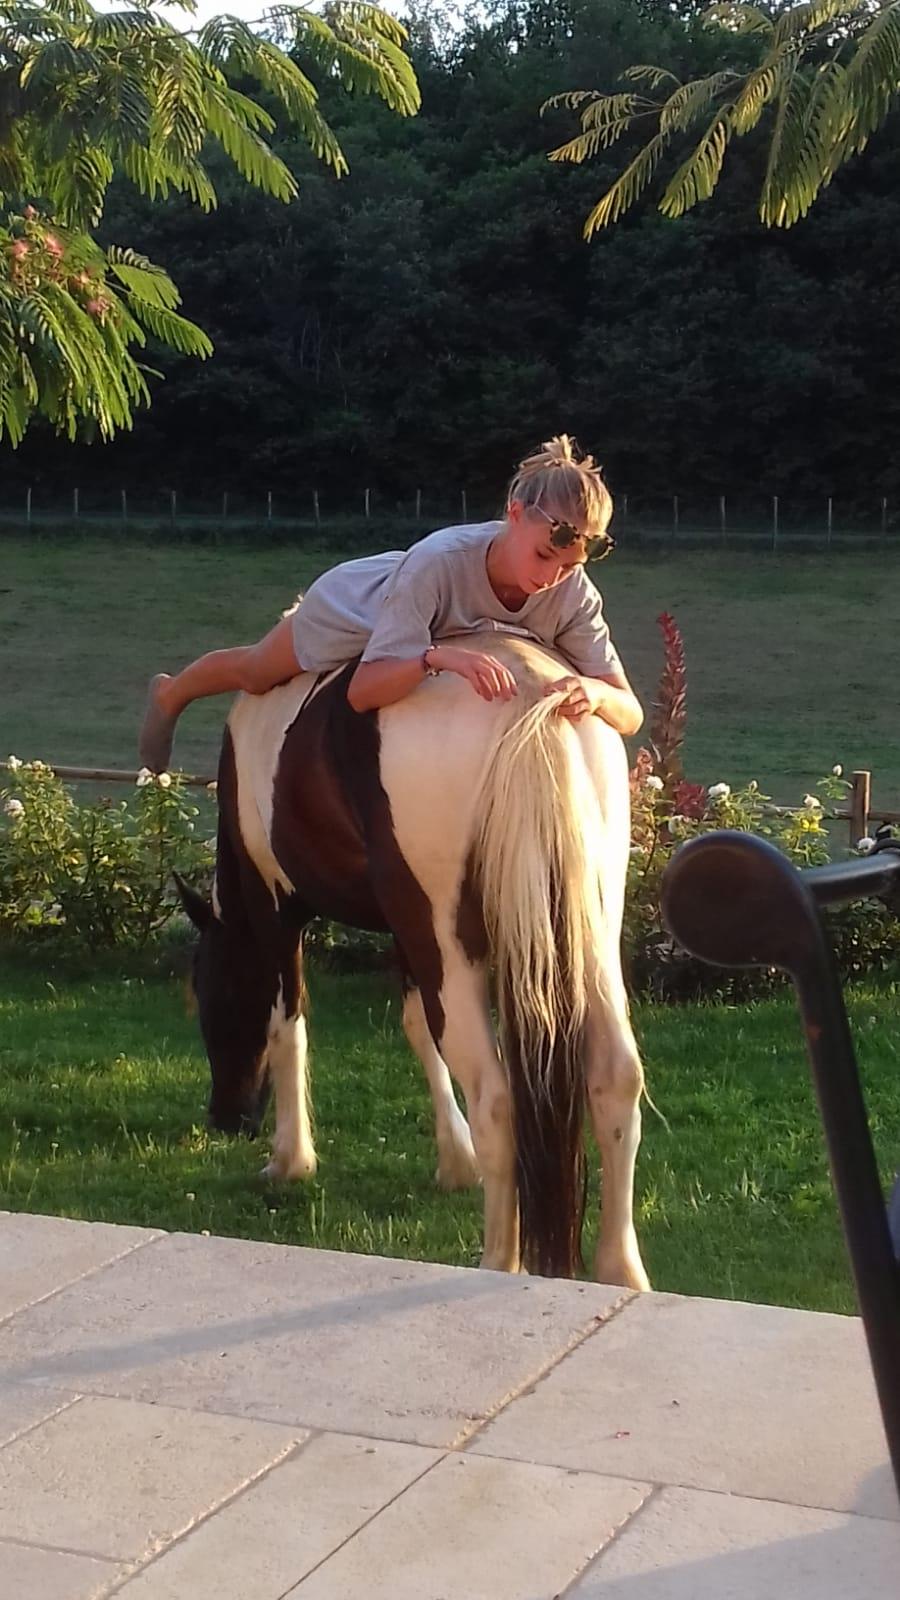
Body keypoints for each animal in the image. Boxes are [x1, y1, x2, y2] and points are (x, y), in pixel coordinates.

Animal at [176, 630, 643, 1292]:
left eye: (206, 997)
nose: (225, 1116)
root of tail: (533, 697)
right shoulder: (404, 928)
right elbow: (419, 1028)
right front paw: (456, 1161)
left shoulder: (276, 911)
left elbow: (289, 1023)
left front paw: (291, 1159)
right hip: (589, 932)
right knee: (615, 1076)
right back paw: (621, 1270)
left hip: (449, 938)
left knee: (496, 1093)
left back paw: (499, 1261)